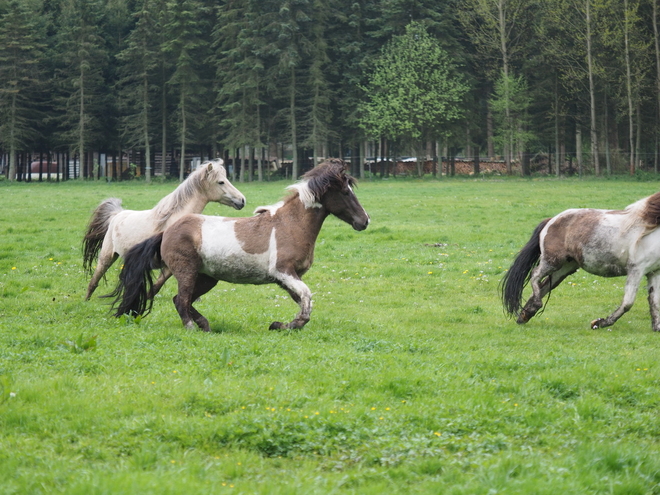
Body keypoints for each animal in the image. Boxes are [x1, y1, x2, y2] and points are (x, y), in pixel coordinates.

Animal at [82, 160, 245, 298]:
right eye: (221, 182)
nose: (242, 200)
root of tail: (117, 214)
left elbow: (157, 286)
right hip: (107, 256)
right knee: (94, 280)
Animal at [105, 158, 368, 334]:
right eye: (345, 192)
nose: (364, 221)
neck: (291, 224)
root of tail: (165, 232)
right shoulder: (283, 272)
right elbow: (306, 299)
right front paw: (285, 324)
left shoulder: (290, 278)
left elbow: (305, 302)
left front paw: (280, 325)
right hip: (186, 271)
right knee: (181, 300)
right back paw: (192, 328)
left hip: (207, 278)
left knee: (182, 299)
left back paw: (205, 325)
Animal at [500, 192, 660, 332]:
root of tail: (552, 220)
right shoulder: (636, 269)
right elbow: (628, 303)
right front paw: (599, 323)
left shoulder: (654, 272)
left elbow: (655, 301)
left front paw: (656, 327)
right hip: (552, 261)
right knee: (535, 275)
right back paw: (533, 307)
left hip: (566, 268)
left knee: (544, 285)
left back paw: (526, 314)